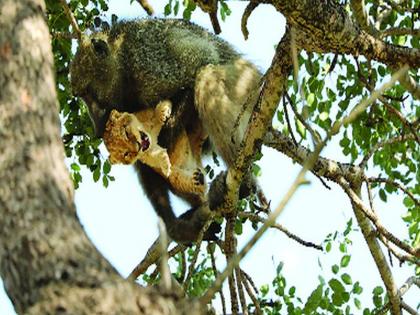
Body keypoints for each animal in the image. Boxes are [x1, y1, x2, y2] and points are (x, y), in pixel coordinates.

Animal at [71, 18, 262, 243]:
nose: (96, 123)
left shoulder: (149, 64)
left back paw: (244, 184)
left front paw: (167, 133)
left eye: (88, 93)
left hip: (246, 83)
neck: (121, 62)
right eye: (81, 96)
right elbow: (142, 160)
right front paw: (176, 227)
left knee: (206, 76)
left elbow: (200, 63)